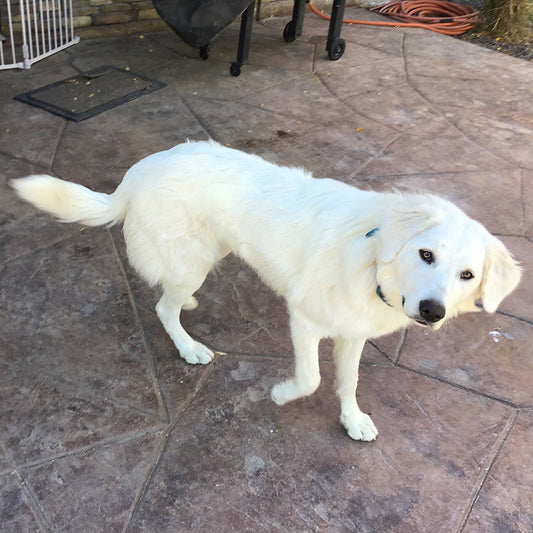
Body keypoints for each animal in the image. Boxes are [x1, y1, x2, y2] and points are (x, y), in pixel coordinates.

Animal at [11, 140, 520, 440]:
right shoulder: (305, 320)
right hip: (194, 261)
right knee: (161, 307)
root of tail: (140, 170)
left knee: (169, 297)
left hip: (209, 252)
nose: (433, 310)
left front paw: (352, 419)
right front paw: (281, 394)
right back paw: (189, 346)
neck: (372, 257)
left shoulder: (352, 333)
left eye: (467, 275)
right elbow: (313, 379)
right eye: (426, 255)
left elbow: (348, 381)